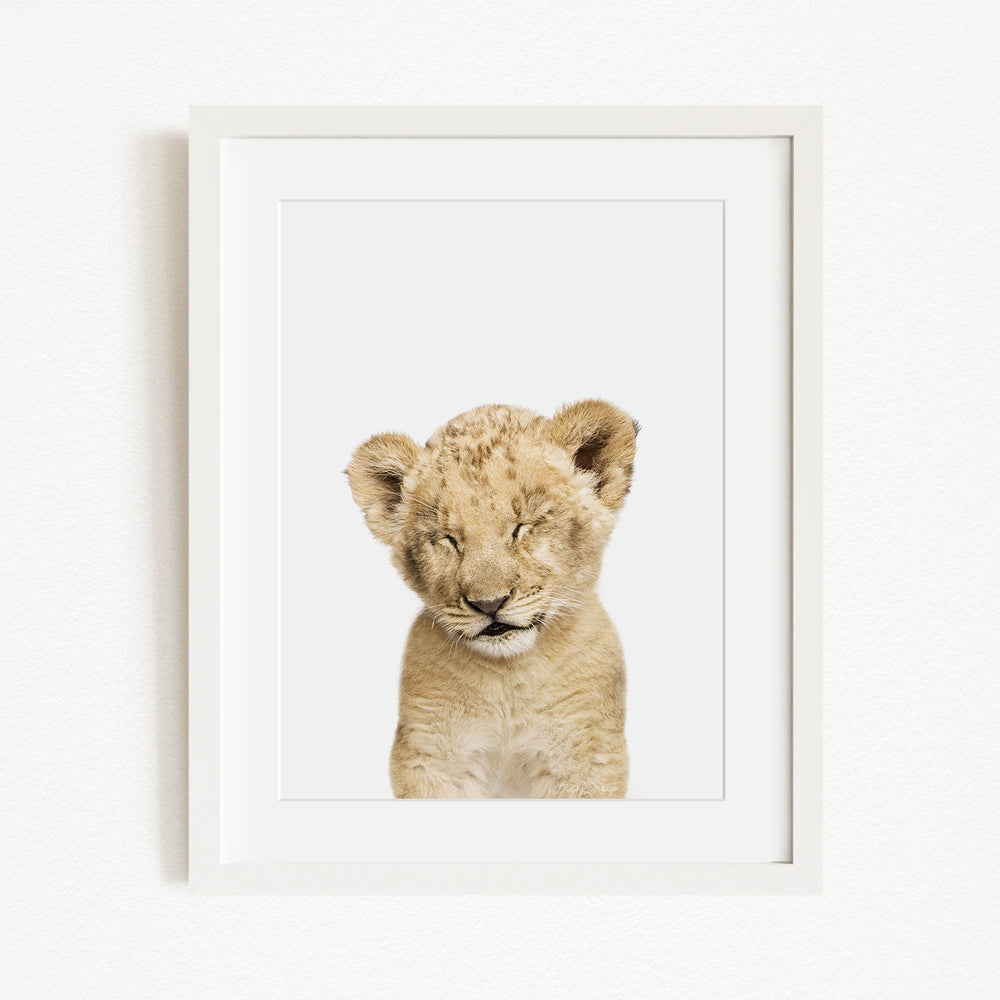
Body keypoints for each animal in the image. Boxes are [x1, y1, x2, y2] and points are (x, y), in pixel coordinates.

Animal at [346, 400, 637, 798]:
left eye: (522, 527)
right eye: (449, 539)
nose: (489, 603)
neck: (508, 678)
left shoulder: (587, 756)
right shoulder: (429, 755)